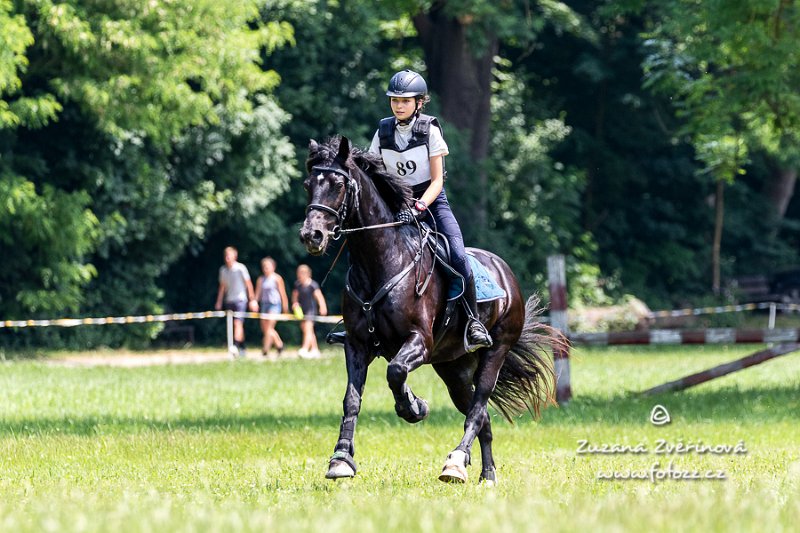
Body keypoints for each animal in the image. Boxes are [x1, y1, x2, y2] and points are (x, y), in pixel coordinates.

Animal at [296, 135, 560, 484]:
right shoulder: (357, 344)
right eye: (308, 184)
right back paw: (487, 474)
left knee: (478, 408)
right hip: (453, 368)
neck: (381, 260)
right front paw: (341, 459)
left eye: (338, 184)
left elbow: (395, 371)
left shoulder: (419, 340)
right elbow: (352, 399)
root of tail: (506, 272)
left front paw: (413, 407)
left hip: (495, 351)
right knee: (481, 416)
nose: (311, 235)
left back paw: (456, 463)